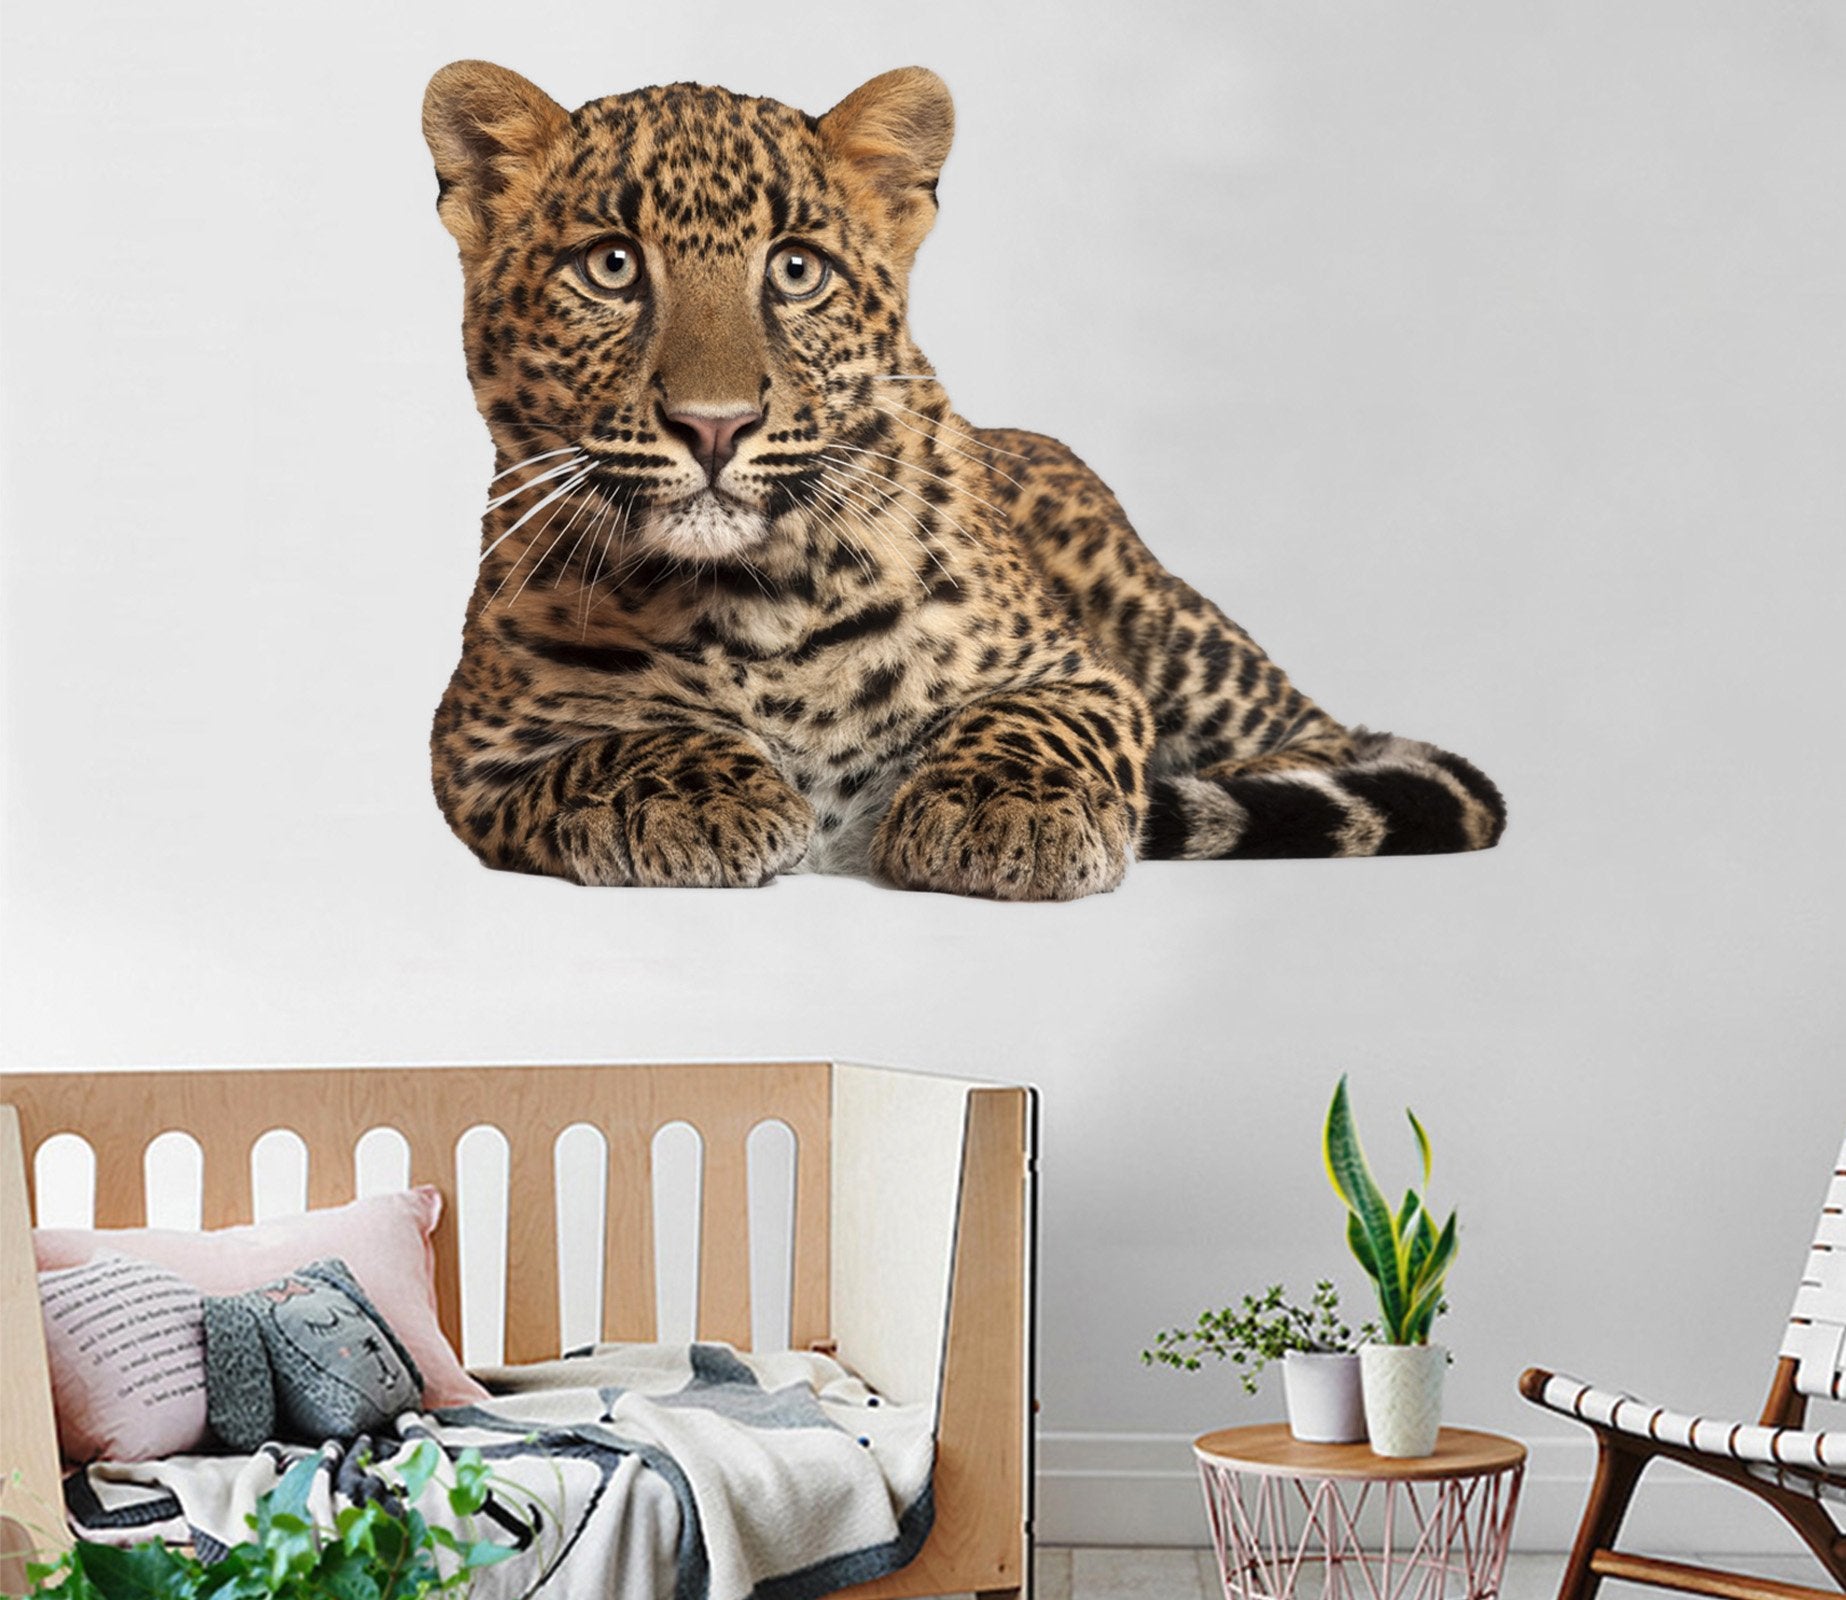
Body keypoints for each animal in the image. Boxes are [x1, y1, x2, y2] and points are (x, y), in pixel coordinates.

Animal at [421, 61, 1506, 900]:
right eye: (609, 266)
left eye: (796, 270)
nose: (714, 425)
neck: (747, 600)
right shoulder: (473, 745)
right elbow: (610, 741)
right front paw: (695, 794)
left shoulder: (1079, 674)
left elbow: (1031, 716)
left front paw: (1002, 810)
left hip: (1170, 630)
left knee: (1329, 736)